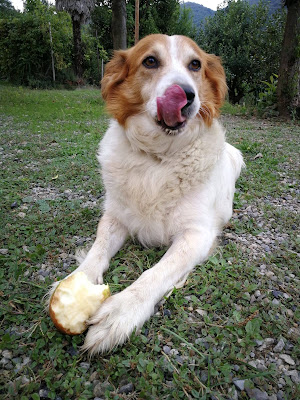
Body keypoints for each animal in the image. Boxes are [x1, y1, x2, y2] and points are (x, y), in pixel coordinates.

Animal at [50, 33, 245, 354]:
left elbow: (156, 272)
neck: (159, 158)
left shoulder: (196, 235)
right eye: (150, 61)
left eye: (195, 65)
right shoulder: (115, 217)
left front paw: (122, 311)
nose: (186, 95)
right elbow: (96, 251)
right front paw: (73, 284)